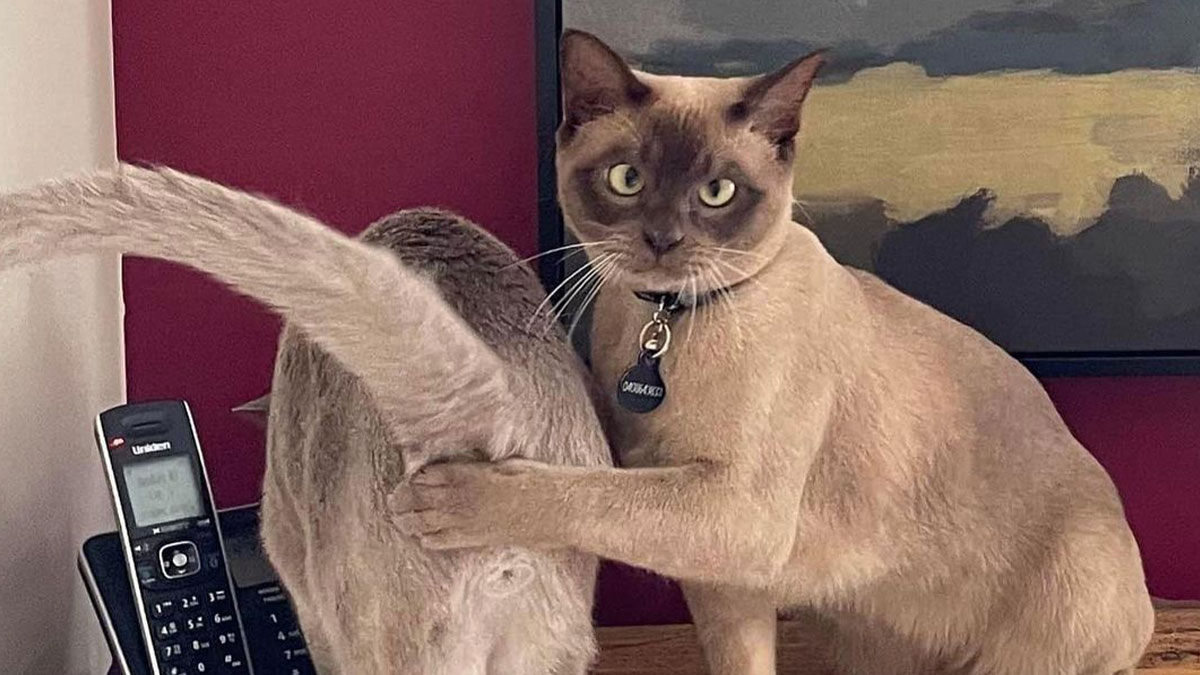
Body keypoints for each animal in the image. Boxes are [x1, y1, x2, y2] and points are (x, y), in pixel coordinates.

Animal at [391, 29, 1155, 675]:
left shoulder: (731, 511)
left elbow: (582, 493)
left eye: (717, 192)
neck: (665, 320)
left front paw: (440, 499)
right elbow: (736, 656)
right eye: (626, 180)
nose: (662, 240)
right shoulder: (723, 584)